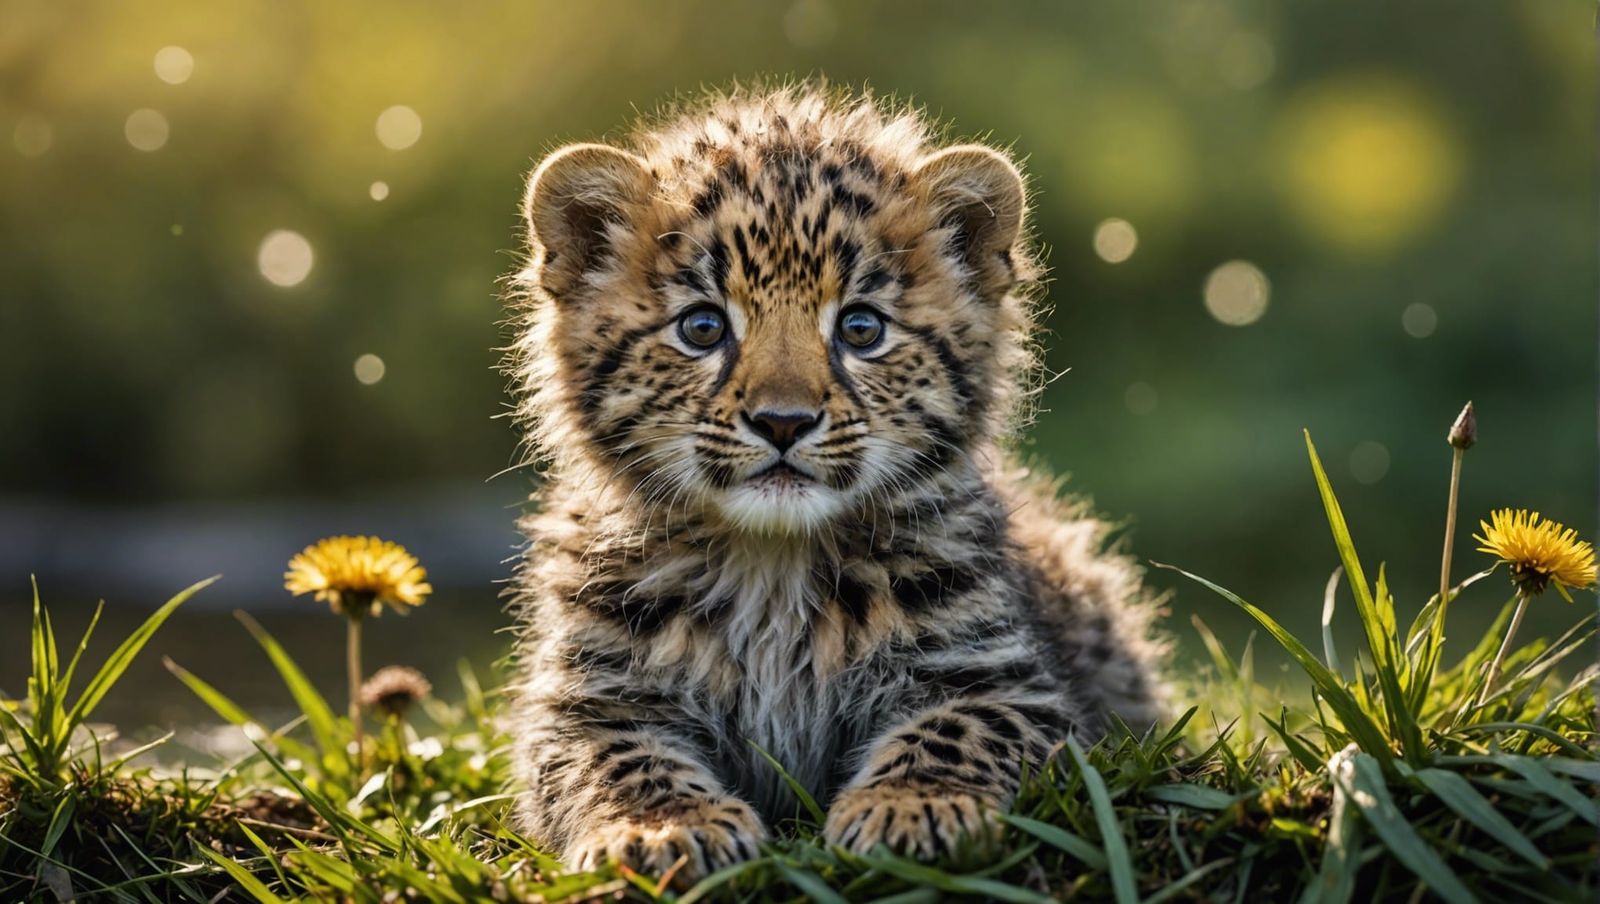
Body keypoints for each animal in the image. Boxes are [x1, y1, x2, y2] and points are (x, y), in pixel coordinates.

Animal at [503, 85, 1167, 886]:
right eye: (702, 328)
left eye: (860, 328)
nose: (782, 421)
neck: (772, 565)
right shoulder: (590, 701)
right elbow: (617, 762)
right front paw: (664, 827)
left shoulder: (1001, 678)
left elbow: (959, 729)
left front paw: (912, 807)